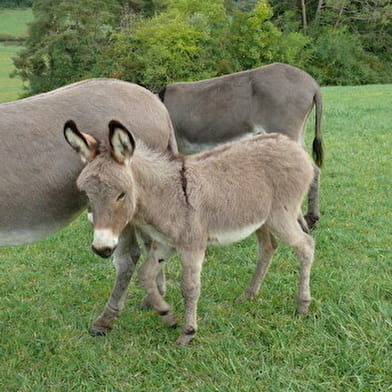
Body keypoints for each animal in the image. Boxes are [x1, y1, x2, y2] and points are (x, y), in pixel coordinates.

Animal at [64, 120, 316, 346]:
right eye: (86, 194)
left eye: (121, 194)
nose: (102, 248)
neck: (165, 195)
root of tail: (291, 145)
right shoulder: (165, 244)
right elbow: (145, 275)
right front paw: (167, 314)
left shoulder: (191, 246)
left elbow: (190, 288)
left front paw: (188, 332)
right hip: (260, 219)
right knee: (268, 247)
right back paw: (248, 294)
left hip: (281, 216)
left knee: (306, 246)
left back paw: (302, 305)